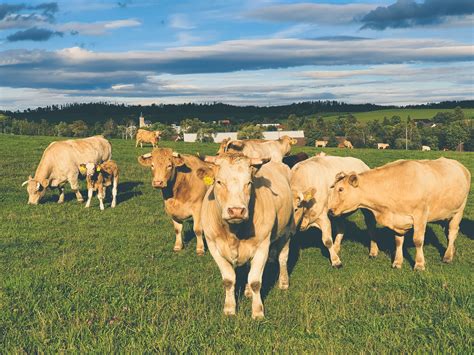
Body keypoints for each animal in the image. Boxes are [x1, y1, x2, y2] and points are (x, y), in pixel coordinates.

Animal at [199, 153, 292, 320]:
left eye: (249, 183)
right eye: (219, 181)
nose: (236, 211)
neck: (234, 232)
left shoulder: (263, 246)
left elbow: (255, 281)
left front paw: (258, 311)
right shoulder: (213, 246)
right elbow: (229, 280)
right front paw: (229, 309)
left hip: (287, 228)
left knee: (283, 258)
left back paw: (283, 282)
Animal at [330, 157, 470, 272]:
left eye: (341, 189)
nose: (330, 211)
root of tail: (460, 166)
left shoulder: (420, 215)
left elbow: (418, 240)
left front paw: (419, 264)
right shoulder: (398, 219)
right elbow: (398, 241)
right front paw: (397, 262)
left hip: (459, 210)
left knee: (452, 232)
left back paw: (447, 256)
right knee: (448, 232)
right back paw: (451, 251)